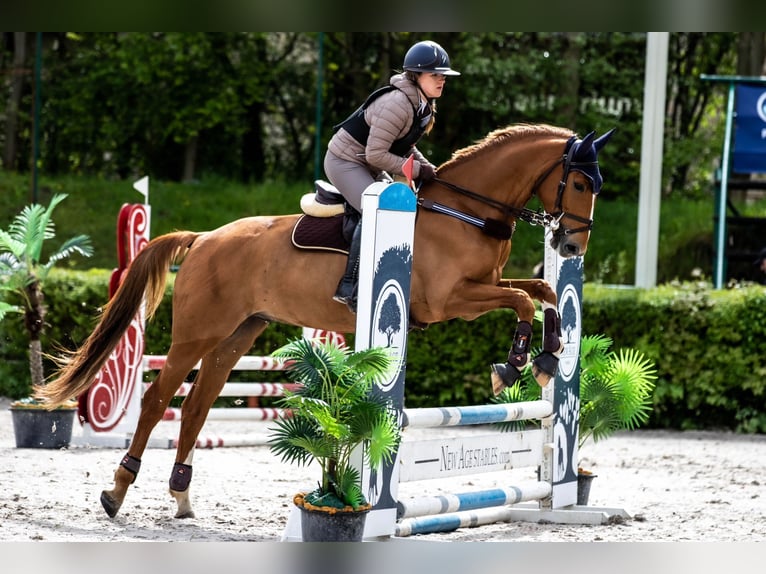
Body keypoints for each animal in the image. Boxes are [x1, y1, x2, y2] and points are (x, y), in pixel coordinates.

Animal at [37, 124, 616, 520]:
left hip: (236, 335)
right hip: (197, 333)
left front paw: (547, 357)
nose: (571, 247)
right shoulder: (450, 299)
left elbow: (541, 292)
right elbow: (520, 301)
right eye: (579, 182)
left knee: (197, 406)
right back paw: (115, 493)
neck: (467, 213)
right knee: (160, 400)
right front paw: (514, 364)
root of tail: (202, 238)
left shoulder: (481, 287)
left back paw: (181, 496)